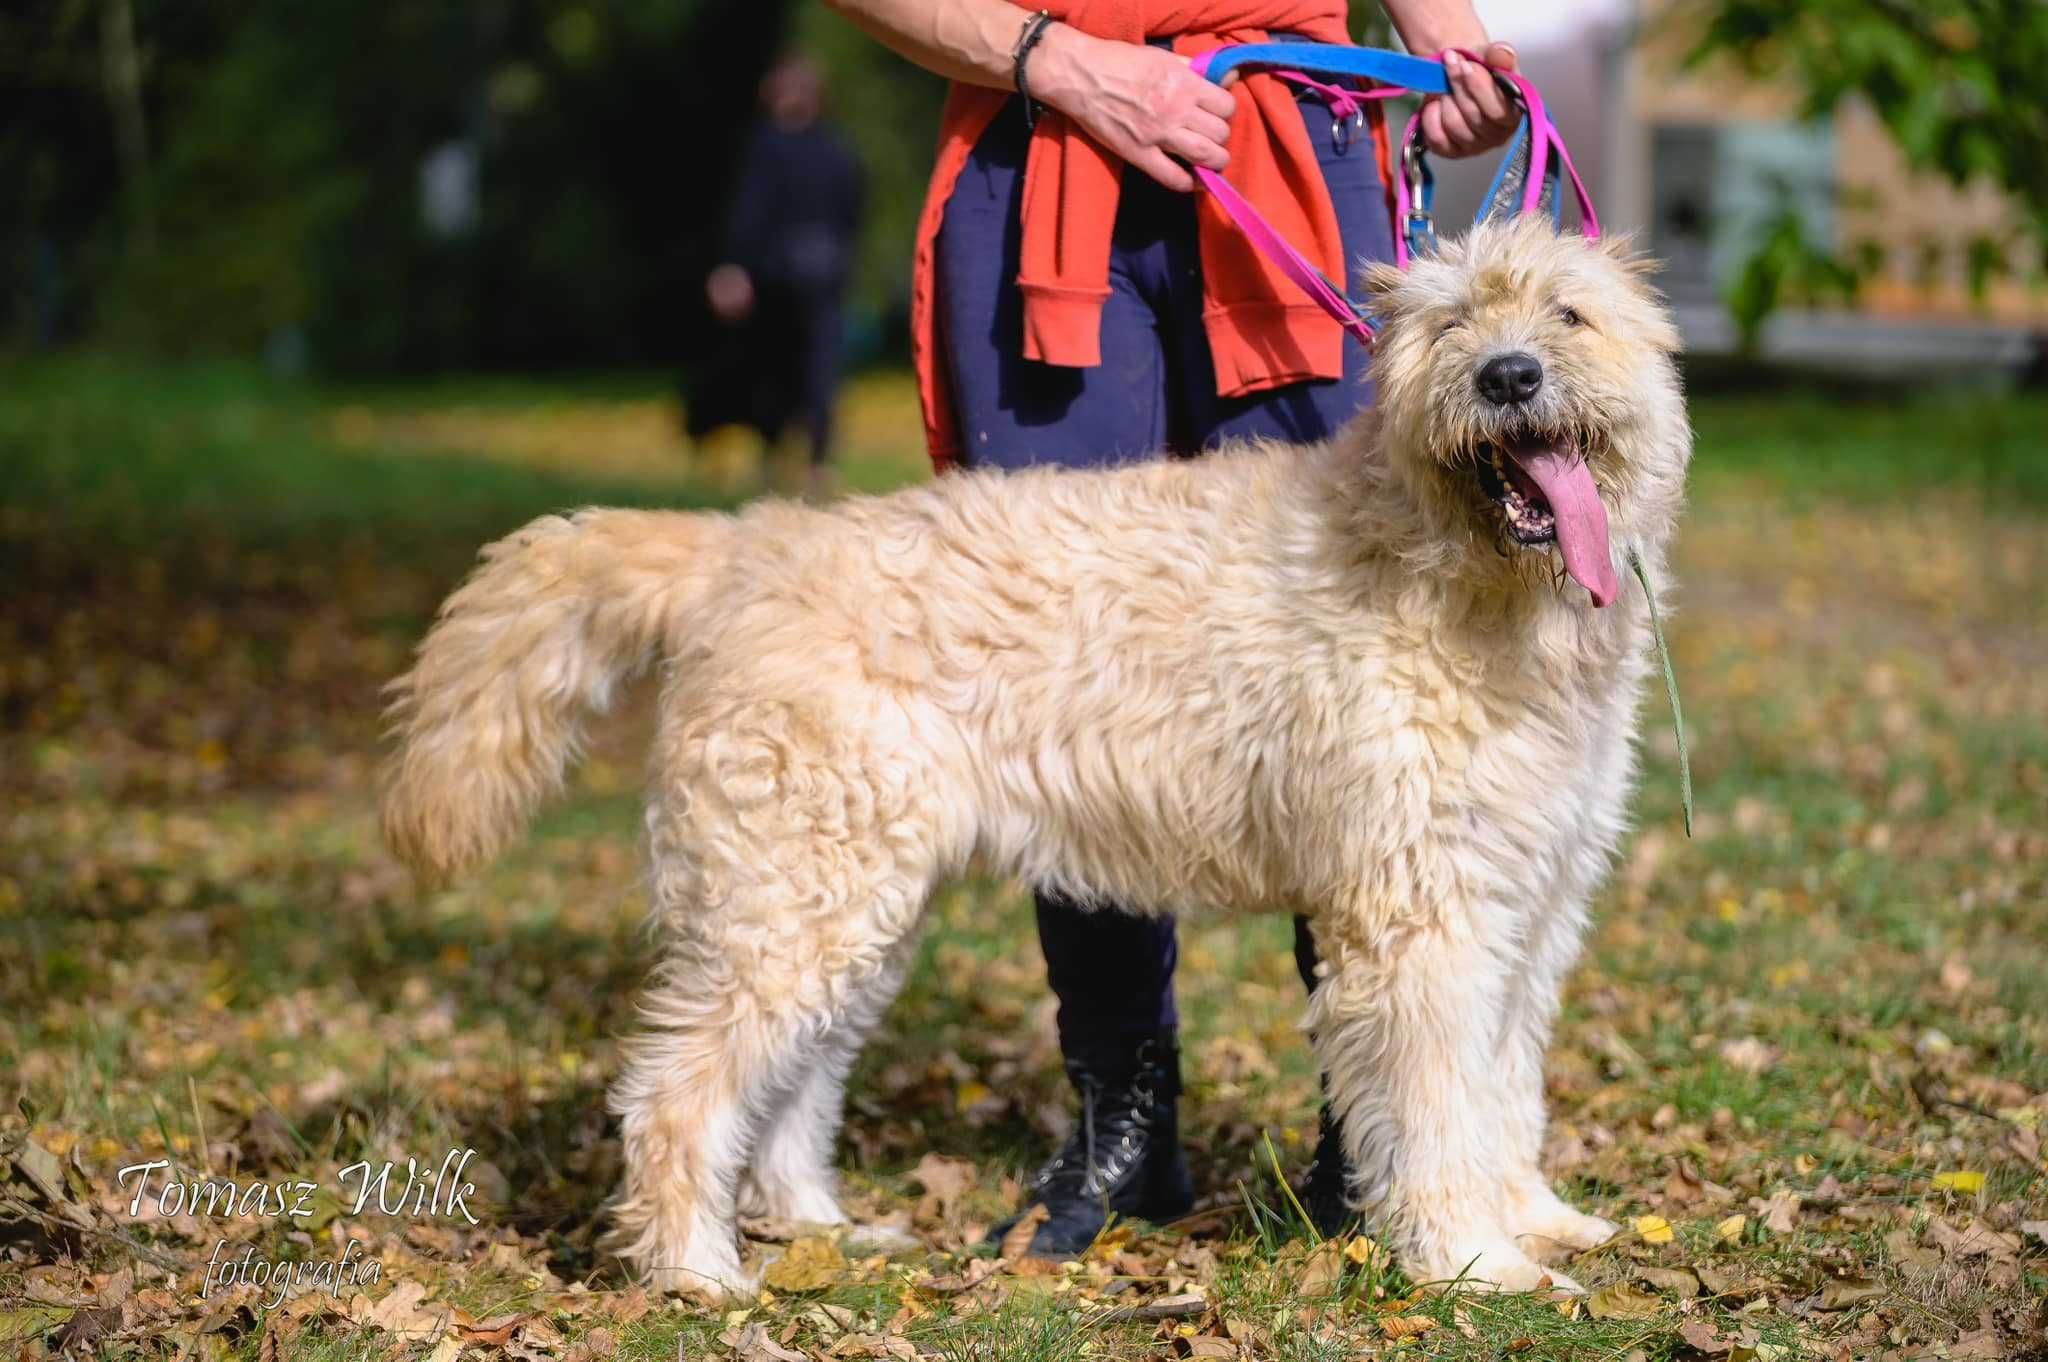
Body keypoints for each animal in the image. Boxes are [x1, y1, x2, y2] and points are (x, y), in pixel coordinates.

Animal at [387, 220, 1695, 1294]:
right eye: (1449, 323)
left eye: (1566, 315)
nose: (1506, 376)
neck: (1460, 577)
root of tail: (742, 550)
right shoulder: (1421, 920)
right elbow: (1436, 1104)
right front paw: (1473, 1259)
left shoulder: (1528, 905)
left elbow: (1504, 1085)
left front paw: (1533, 1217)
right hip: (792, 902)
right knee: (676, 1090)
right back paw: (694, 1273)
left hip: (848, 911)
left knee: (788, 1090)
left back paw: (818, 1227)